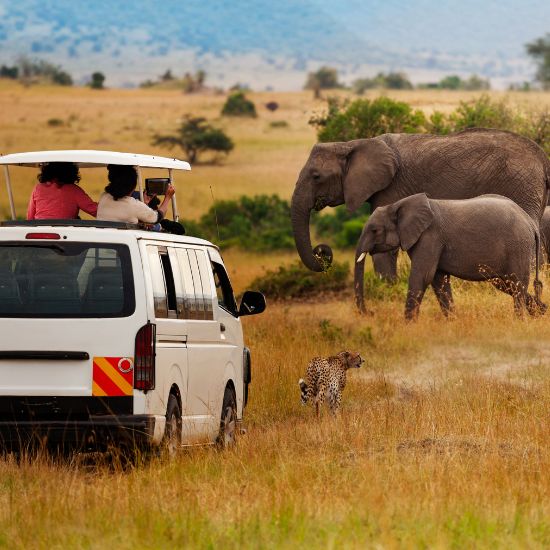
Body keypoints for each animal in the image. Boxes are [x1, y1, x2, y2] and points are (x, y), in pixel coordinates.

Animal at [292, 130, 548, 282]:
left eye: (316, 176)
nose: (322, 250)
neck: (351, 145)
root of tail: (543, 158)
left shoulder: (392, 188)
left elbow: (386, 249)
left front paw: (388, 291)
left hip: (520, 185)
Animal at [356, 195, 544, 322]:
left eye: (374, 230)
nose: (370, 312)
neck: (398, 204)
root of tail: (531, 223)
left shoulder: (430, 237)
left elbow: (422, 276)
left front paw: (408, 325)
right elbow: (438, 280)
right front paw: (451, 322)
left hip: (518, 246)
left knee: (516, 283)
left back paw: (521, 320)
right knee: (506, 284)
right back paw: (541, 311)